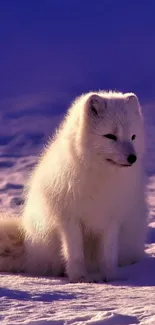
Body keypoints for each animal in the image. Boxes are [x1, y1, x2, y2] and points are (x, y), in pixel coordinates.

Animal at [0, 90, 147, 280]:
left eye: (133, 137)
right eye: (110, 136)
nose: (132, 158)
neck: (100, 175)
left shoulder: (112, 218)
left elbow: (108, 254)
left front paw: (110, 277)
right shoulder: (69, 218)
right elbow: (75, 253)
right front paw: (79, 278)